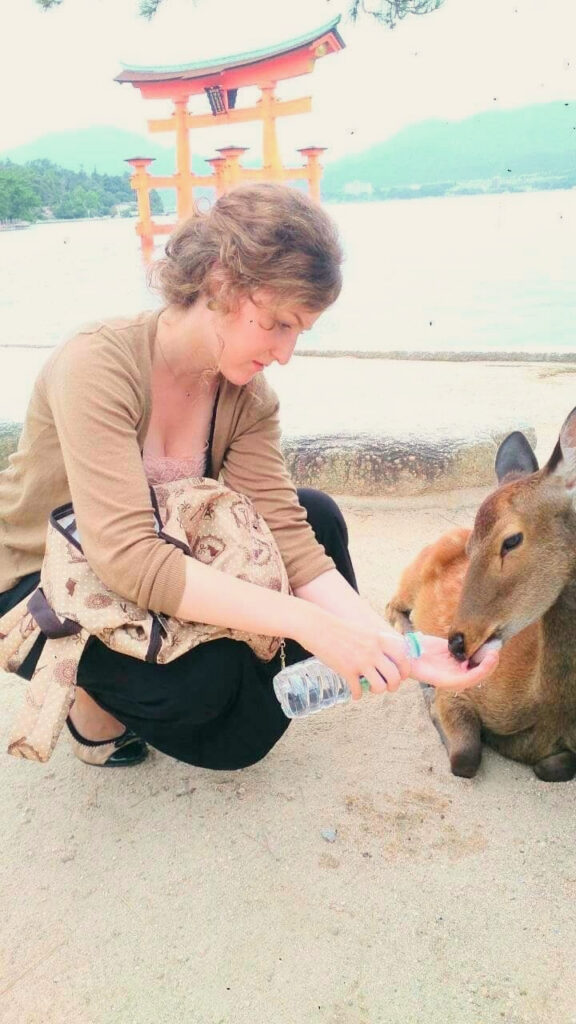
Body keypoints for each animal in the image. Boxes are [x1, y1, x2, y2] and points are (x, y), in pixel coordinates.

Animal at [386, 406, 576, 783]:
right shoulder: (460, 691)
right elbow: (465, 757)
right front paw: (429, 696)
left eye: (511, 540)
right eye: (472, 547)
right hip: (410, 577)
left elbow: (554, 767)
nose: (456, 642)